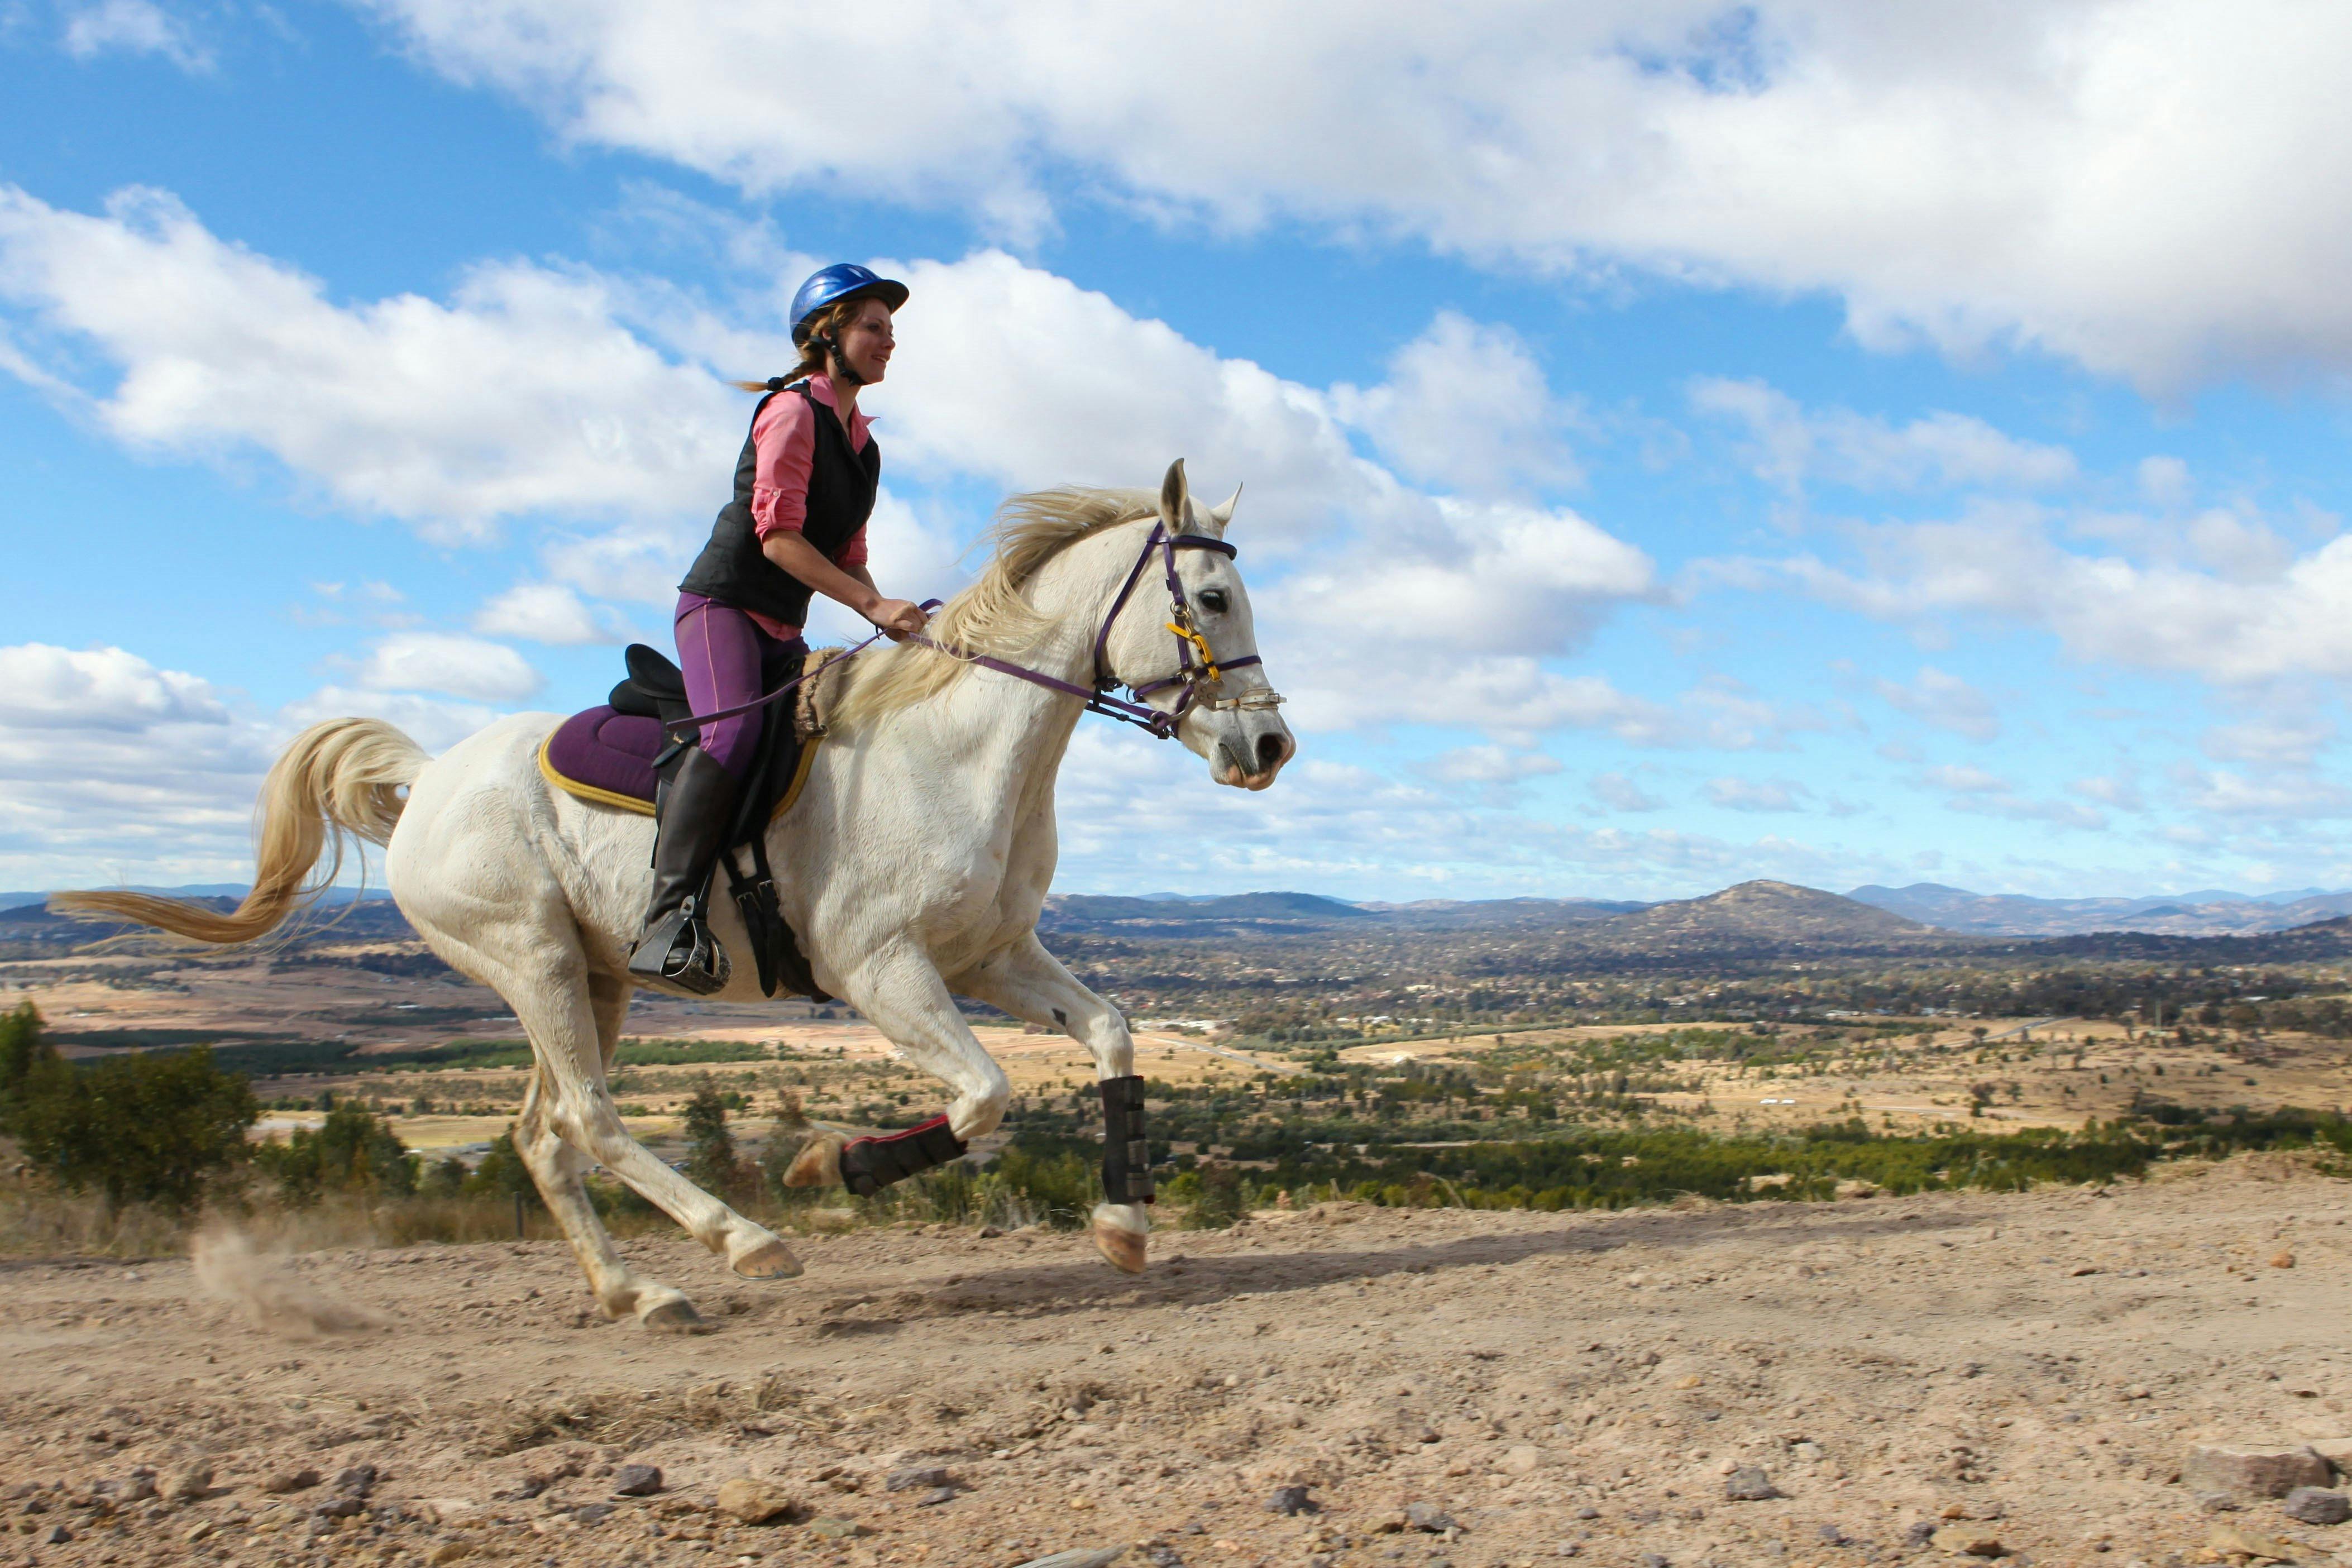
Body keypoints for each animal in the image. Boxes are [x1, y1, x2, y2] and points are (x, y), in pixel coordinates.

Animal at [57, 460, 1294, 1330]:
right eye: (1213, 596)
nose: (1270, 746)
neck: (962, 746)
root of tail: (428, 778)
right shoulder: (882, 969)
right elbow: (986, 1095)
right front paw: (831, 1165)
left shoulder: (991, 954)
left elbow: (1114, 1034)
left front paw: (1123, 1226)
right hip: (534, 962)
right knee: (593, 1121)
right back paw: (746, 1242)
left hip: (589, 974)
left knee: (542, 1136)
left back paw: (639, 1295)